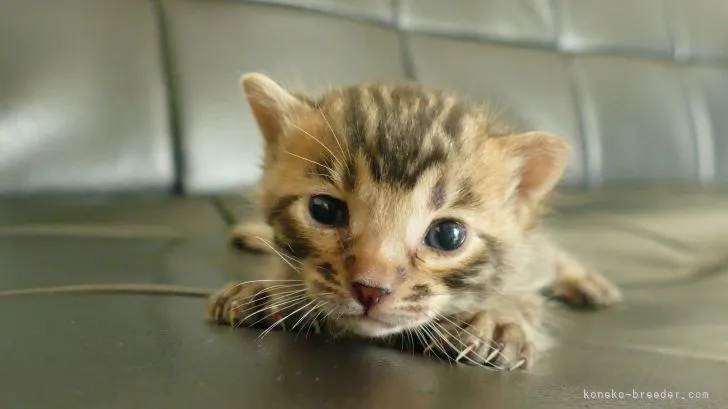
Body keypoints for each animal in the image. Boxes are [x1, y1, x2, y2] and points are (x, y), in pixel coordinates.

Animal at [206, 72, 620, 370]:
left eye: (448, 235)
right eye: (324, 210)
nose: (371, 290)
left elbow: (516, 291)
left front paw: (495, 318)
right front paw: (272, 290)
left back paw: (588, 282)